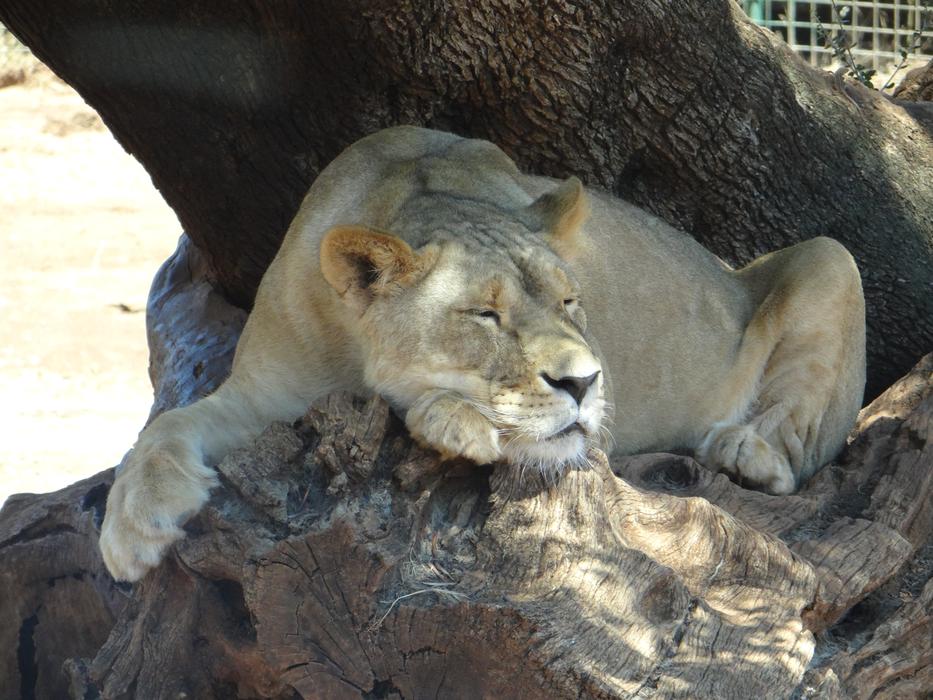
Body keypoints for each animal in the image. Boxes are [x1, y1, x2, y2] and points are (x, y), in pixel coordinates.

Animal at [100, 126, 865, 582]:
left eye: (570, 300)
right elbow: (166, 427)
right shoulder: (261, 394)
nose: (584, 382)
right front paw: (133, 526)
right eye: (485, 315)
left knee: (796, 451)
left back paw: (746, 448)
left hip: (832, 257)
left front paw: (451, 418)